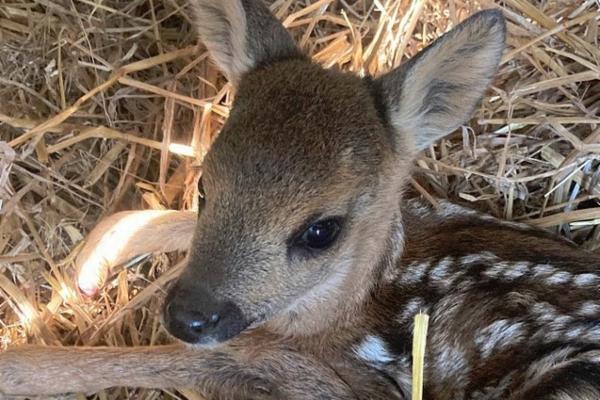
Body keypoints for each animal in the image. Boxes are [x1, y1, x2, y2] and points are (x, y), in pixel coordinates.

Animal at [2, 1, 600, 399]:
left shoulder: (328, 379)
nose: (187, 314)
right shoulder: (427, 210)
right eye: (204, 186)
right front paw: (90, 264)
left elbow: (167, 362)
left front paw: (17, 366)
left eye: (321, 231)